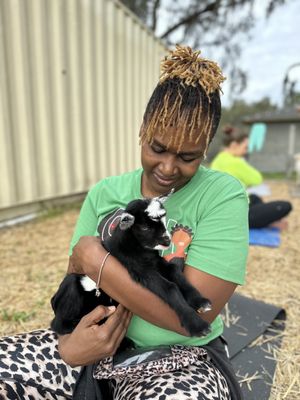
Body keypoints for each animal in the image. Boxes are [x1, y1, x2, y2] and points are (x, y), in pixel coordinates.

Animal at [50, 194, 212, 338]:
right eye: (145, 227)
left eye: (164, 220)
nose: (167, 241)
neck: (137, 249)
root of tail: (53, 301)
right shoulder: (141, 271)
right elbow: (170, 287)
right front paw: (197, 325)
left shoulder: (156, 262)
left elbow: (174, 271)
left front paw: (200, 301)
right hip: (71, 288)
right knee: (57, 324)